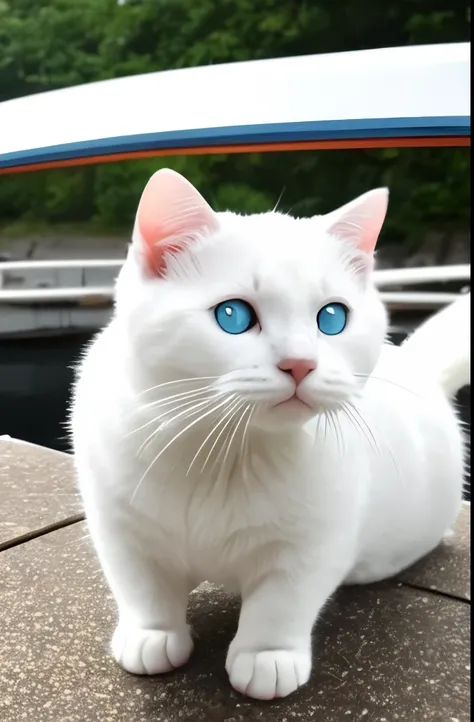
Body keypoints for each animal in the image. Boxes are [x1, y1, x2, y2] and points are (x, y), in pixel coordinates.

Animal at [68, 169, 468, 696]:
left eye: (332, 317)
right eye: (232, 315)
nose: (299, 363)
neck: (224, 451)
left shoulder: (313, 542)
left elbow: (281, 604)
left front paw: (266, 657)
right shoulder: (120, 528)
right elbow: (143, 588)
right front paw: (152, 634)